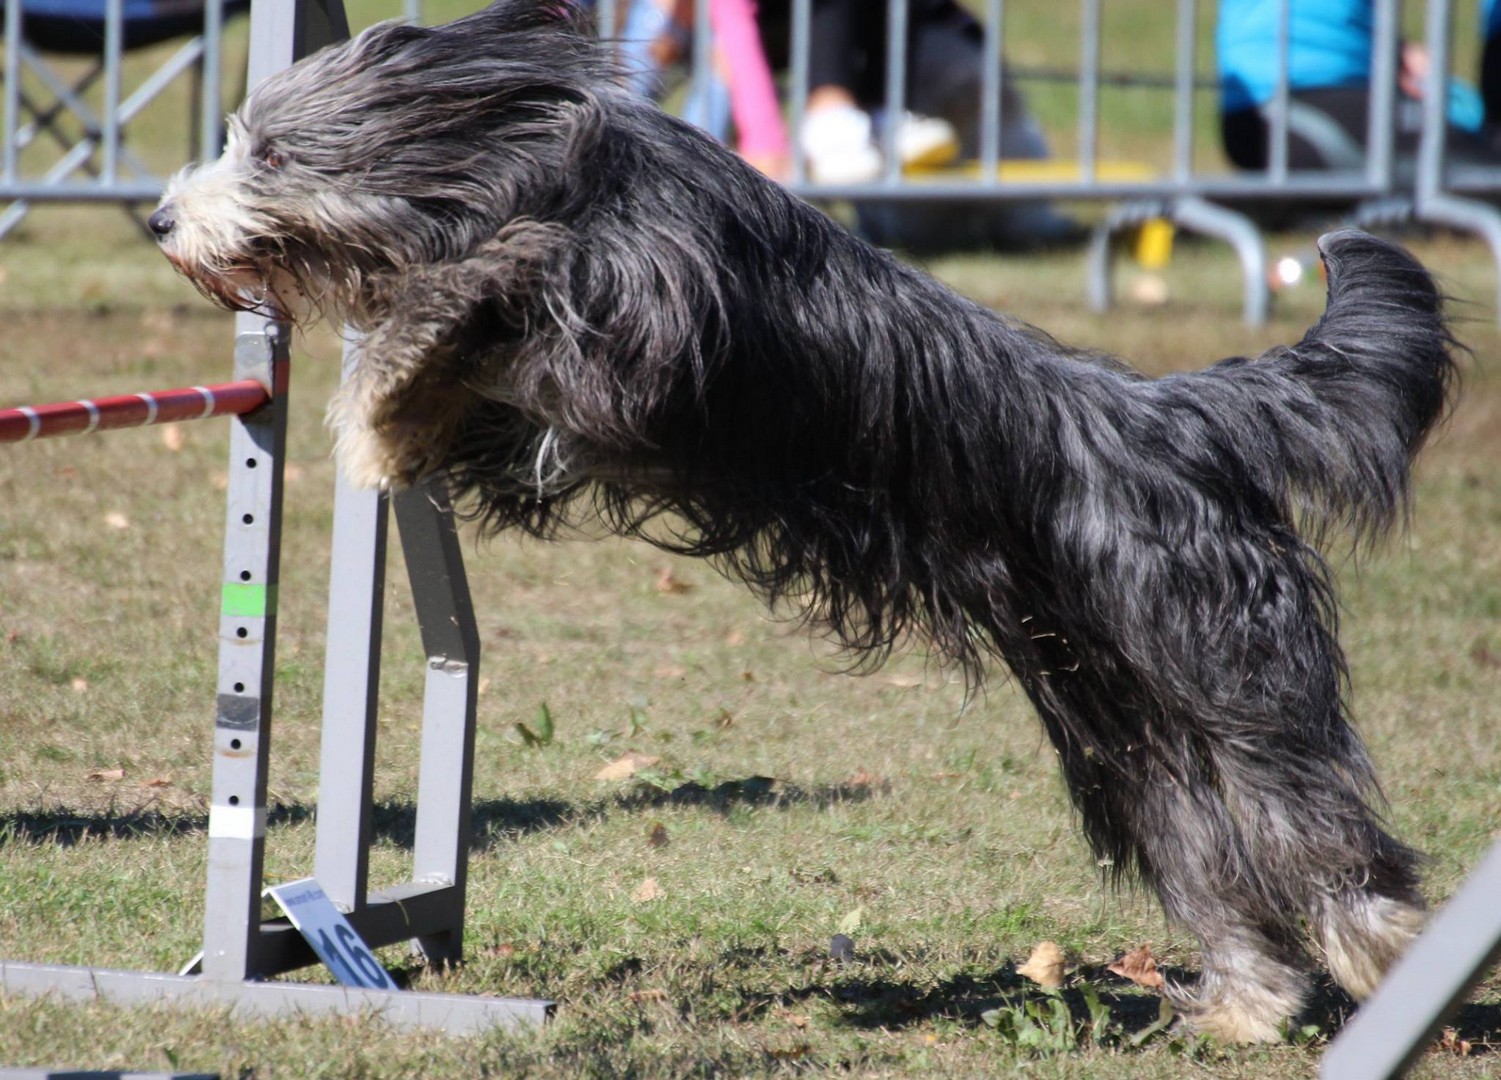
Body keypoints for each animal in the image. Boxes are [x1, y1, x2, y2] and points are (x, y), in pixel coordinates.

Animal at [149, 0, 1458, 1043]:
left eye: (271, 149)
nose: (160, 220)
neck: (557, 169)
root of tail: (1180, 415)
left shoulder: (639, 337)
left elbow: (490, 273)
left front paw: (383, 381)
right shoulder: (544, 426)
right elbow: (461, 378)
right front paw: (389, 418)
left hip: (1216, 665)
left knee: (1311, 826)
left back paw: (1389, 954)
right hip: (1127, 730)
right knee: (1210, 852)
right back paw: (1244, 1006)